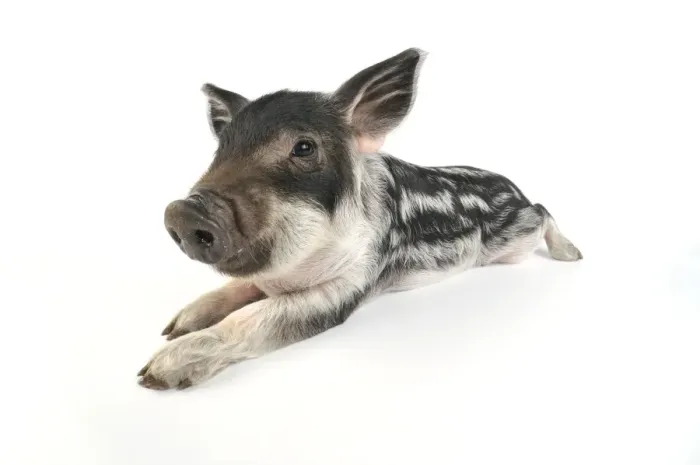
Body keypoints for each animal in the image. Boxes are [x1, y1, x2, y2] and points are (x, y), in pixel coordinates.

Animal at [137, 48, 583, 390]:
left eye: (303, 147)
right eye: (222, 148)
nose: (185, 210)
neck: (293, 271)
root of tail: (513, 188)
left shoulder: (351, 284)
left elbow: (255, 318)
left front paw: (153, 375)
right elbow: (234, 289)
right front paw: (173, 327)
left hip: (518, 239)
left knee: (544, 211)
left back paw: (573, 255)